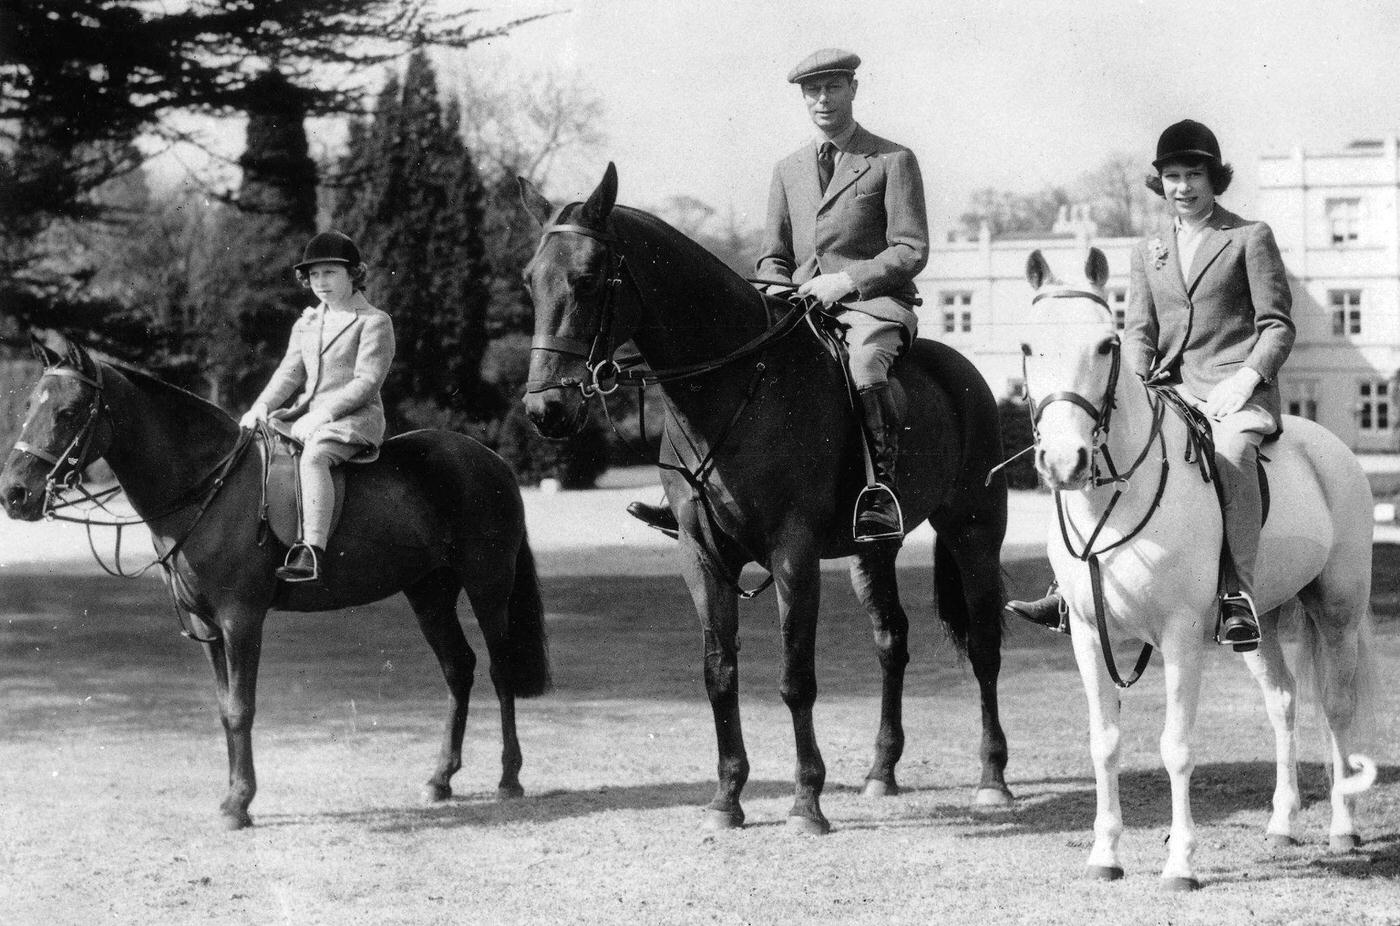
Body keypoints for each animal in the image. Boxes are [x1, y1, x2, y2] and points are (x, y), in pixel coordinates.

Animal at [1, 336, 551, 829]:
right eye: (28, 405)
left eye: (70, 411)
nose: (14, 494)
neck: (210, 485)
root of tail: (490, 460)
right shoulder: (208, 627)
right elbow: (225, 709)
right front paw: (232, 797)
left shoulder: (240, 620)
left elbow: (241, 708)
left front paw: (239, 804)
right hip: (429, 593)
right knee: (459, 668)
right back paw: (440, 780)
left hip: (488, 586)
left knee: (500, 670)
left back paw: (509, 778)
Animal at [520, 164, 1013, 829]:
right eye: (530, 279)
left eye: (588, 278)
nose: (545, 410)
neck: (733, 386)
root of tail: (962, 371)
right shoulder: (702, 555)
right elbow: (719, 674)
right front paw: (727, 798)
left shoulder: (792, 552)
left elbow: (795, 678)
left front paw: (806, 802)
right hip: (871, 551)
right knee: (891, 641)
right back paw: (881, 772)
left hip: (973, 530)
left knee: (984, 645)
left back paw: (992, 778)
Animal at [1019, 245, 1377, 890]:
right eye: (1029, 347)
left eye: (1107, 344)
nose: (1064, 462)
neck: (1117, 499)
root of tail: (1331, 446)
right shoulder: (1086, 634)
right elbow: (1104, 743)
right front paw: (1105, 854)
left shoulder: (1181, 634)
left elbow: (1177, 746)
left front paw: (1180, 862)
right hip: (1260, 623)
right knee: (1283, 702)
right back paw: (1282, 823)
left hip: (1336, 609)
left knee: (1337, 706)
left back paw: (1343, 825)